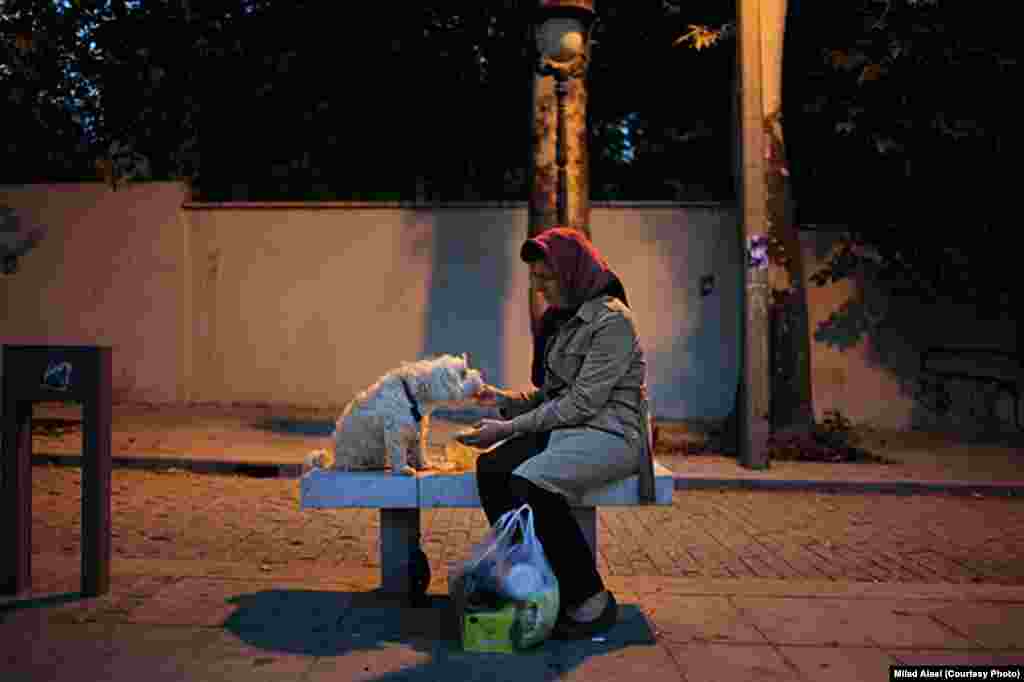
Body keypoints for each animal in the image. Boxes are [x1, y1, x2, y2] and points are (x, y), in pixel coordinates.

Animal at [303, 352, 483, 475]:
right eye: (463, 373)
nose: (480, 378)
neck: (413, 394)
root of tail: (336, 461)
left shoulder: (417, 428)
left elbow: (418, 449)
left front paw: (423, 464)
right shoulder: (396, 430)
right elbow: (398, 451)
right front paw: (403, 468)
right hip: (362, 452)